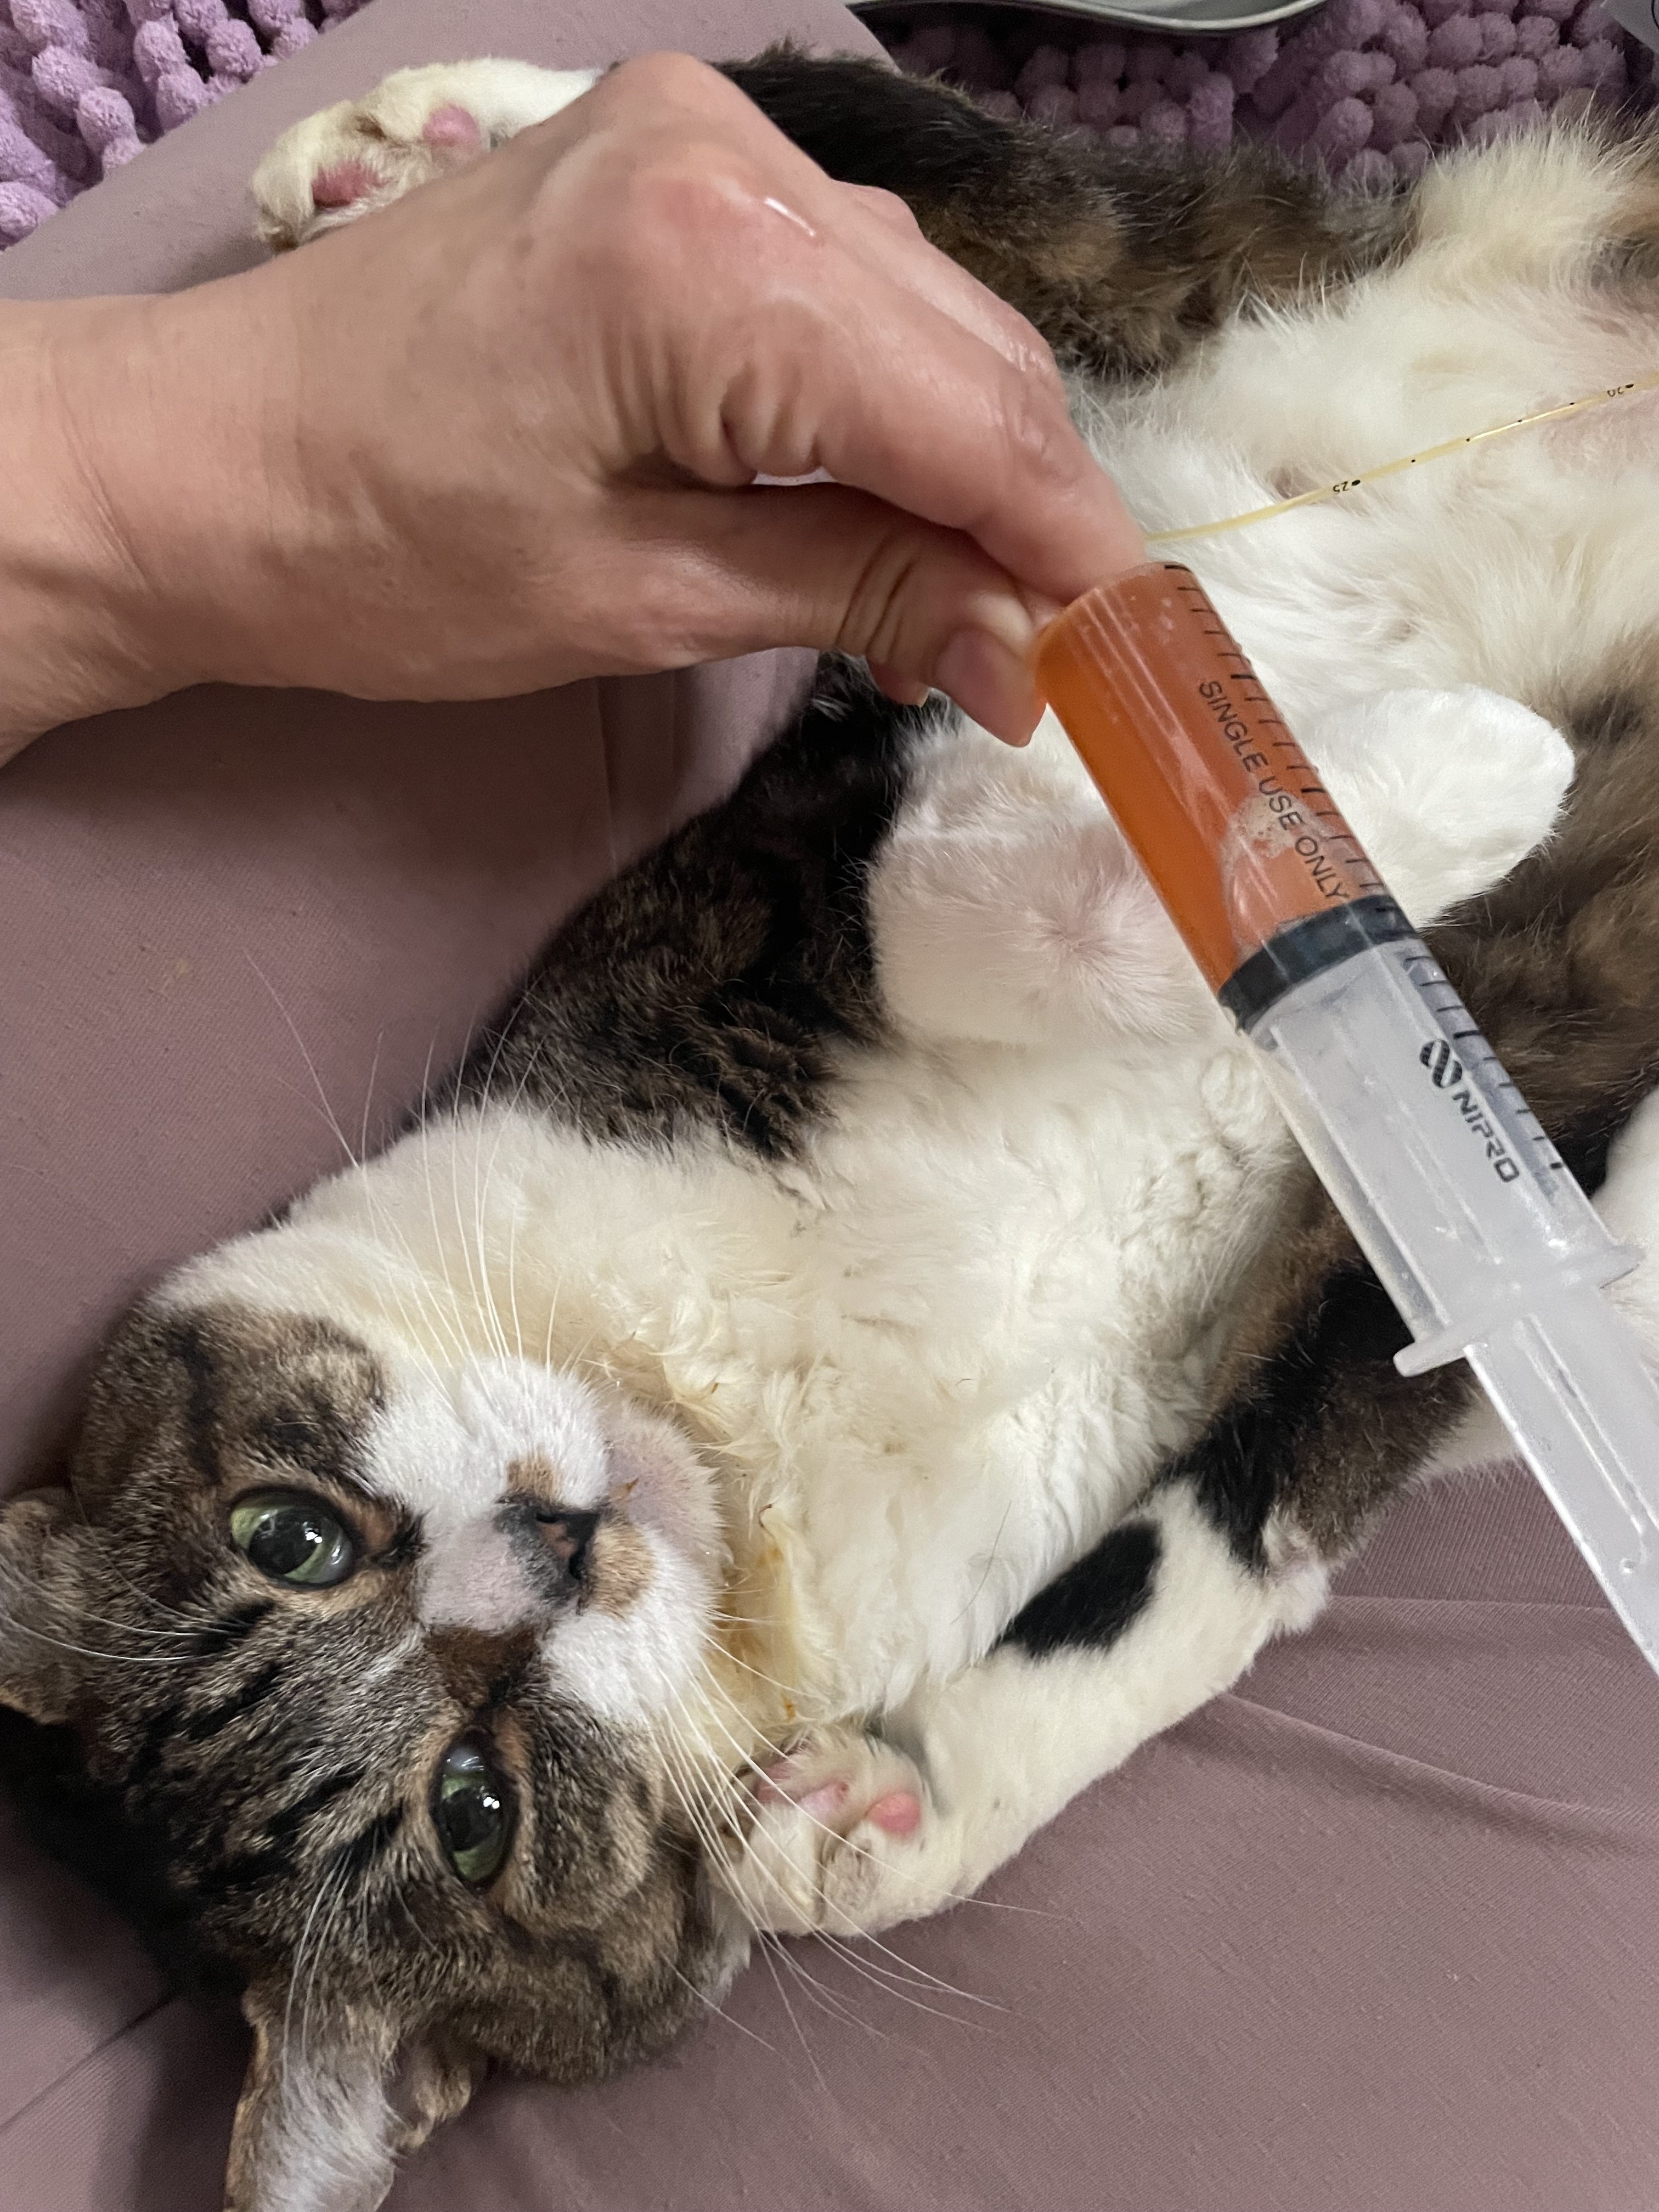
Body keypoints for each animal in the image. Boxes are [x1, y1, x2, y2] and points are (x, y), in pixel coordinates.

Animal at [5, 46, 1659, 2212]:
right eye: (474, 1808)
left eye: (289, 1532)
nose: (550, 1549)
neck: (751, 1398)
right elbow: (1267, 1495)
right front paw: (910, 1802)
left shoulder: (780, 885)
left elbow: (956, 903)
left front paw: (1448, 776)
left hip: (1140, 323)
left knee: (902, 155)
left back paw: (412, 152)